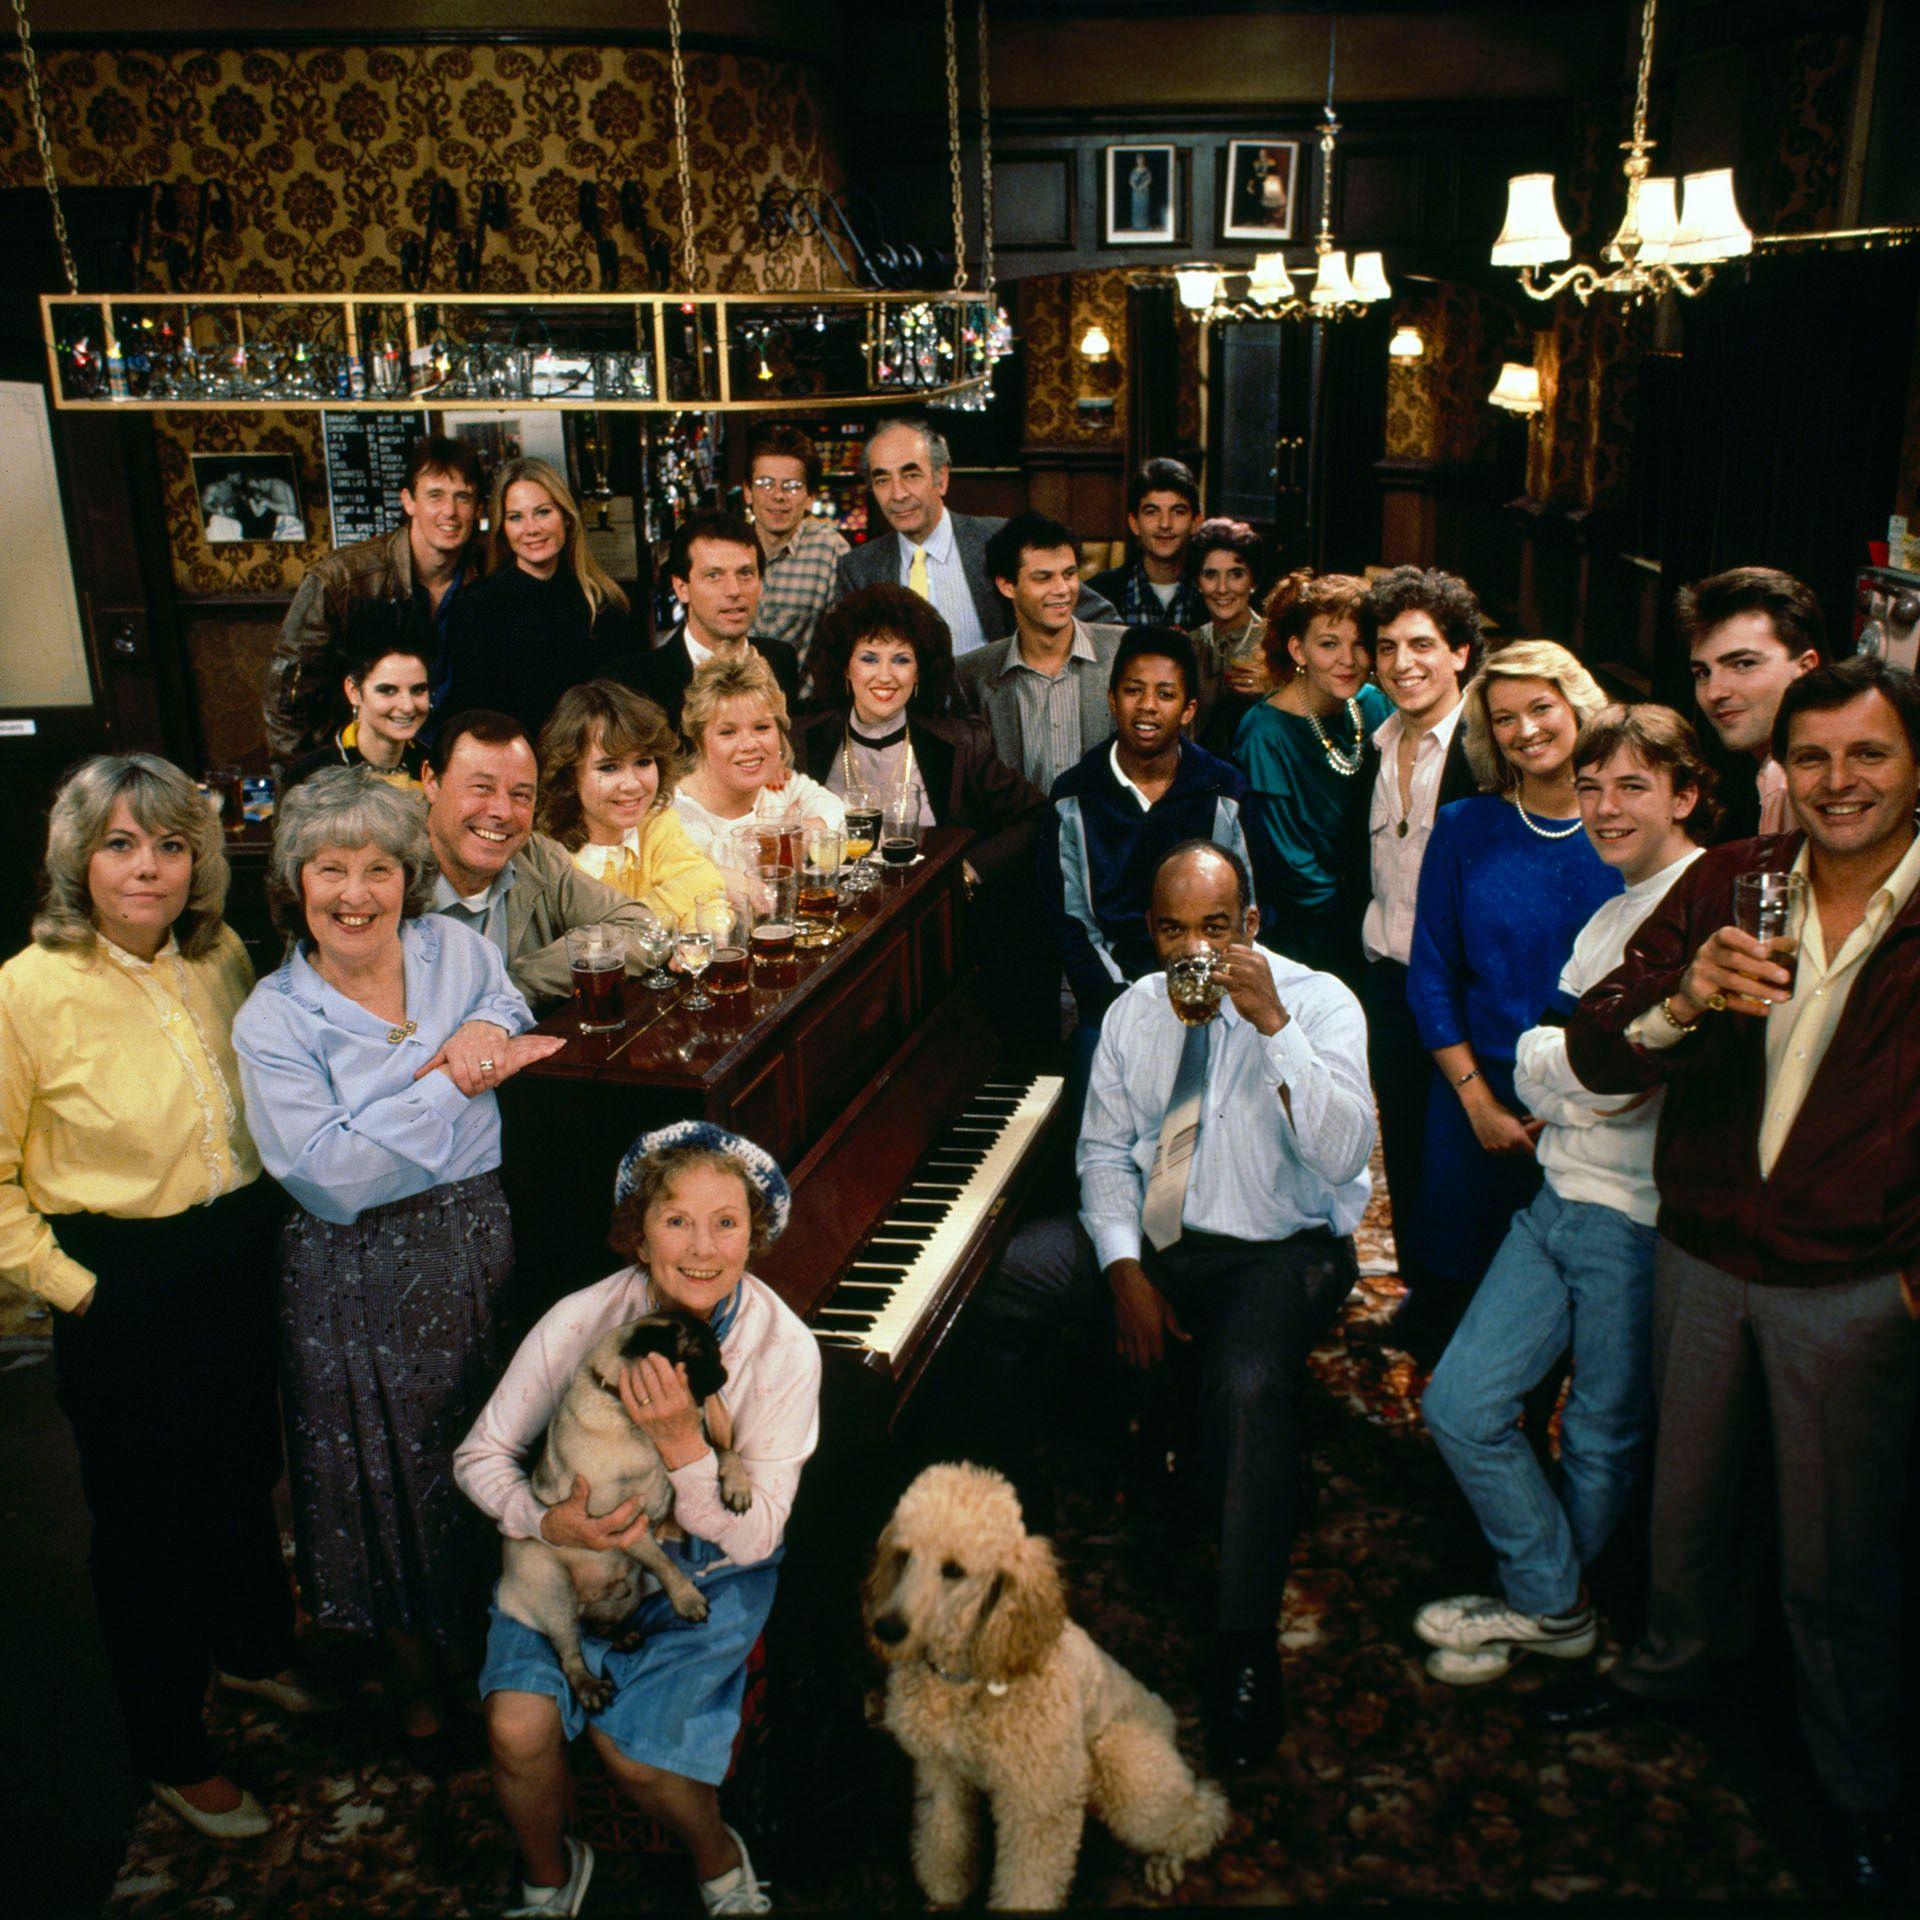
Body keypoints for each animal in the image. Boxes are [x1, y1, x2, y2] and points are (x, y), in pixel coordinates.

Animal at [499, 1305, 752, 1712]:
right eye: (699, 1354)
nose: (723, 1372)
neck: (635, 1423)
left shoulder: (684, 1469)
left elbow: (725, 1452)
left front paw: (738, 1485)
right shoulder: (621, 1522)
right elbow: (664, 1562)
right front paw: (686, 1597)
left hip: (627, 1591)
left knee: (594, 1628)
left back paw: (620, 1636)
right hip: (551, 1587)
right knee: (569, 1650)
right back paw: (589, 1685)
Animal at [860, 1466, 1221, 1904]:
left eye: (954, 1570)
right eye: (903, 1556)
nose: (887, 1629)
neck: (965, 1678)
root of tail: (1165, 1715)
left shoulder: (1039, 1800)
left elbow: (1028, 1883)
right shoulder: (941, 1770)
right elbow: (943, 1837)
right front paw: (945, 1891)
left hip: (1128, 1769)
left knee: (1201, 1813)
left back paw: (1166, 1859)